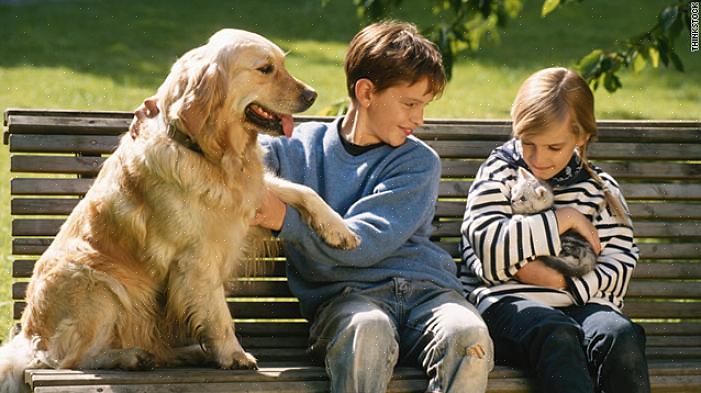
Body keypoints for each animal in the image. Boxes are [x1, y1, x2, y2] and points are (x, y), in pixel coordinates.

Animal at [0, 28, 358, 392]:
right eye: (266, 69)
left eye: (281, 65)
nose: (312, 94)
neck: (207, 153)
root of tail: (27, 339)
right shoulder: (196, 257)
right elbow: (217, 311)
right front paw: (233, 354)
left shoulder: (249, 196)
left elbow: (302, 190)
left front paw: (339, 230)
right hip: (99, 287)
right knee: (71, 360)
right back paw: (131, 357)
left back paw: (188, 352)